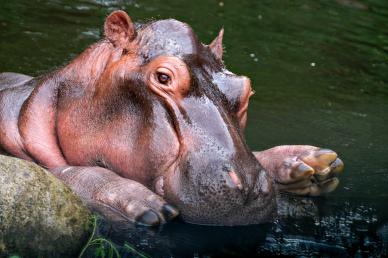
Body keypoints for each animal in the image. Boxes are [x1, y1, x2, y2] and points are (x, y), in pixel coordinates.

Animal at [0, 10, 344, 226]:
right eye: (163, 77)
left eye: (245, 89)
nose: (247, 187)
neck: (27, 106)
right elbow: (66, 172)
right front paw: (146, 206)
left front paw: (311, 164)